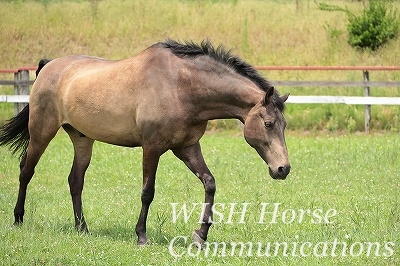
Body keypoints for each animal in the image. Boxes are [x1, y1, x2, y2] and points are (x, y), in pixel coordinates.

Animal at [0, 39, 290, 245]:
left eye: (284, 125)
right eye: (268, 124)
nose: (283, 169)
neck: (181, 86)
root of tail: (48, 66)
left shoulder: (186, 147)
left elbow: (209, 183)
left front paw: (201, 235)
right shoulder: (152, 148)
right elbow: (147, 192)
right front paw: (141, 235)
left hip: (82, 139)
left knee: (75, 180)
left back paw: (82, 228)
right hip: (42, 131)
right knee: (26, 171)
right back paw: (18, 219)